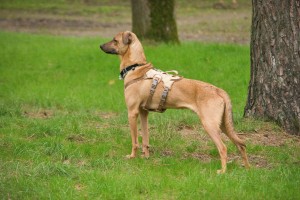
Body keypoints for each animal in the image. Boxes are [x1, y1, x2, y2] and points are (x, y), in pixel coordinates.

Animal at [99, 30, 250, 173]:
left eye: (115, 40)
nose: (100, 46)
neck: (136, 66)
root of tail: (219, 90)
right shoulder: (143, 113)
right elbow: (145, 139)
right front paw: (146, 157)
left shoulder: (132, 113)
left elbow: (135, 141)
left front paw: (132, 157)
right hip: (224, 125)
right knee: (241, 145)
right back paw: (247, 168)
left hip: (210, 125)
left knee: (223, 148)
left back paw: (222, 171)